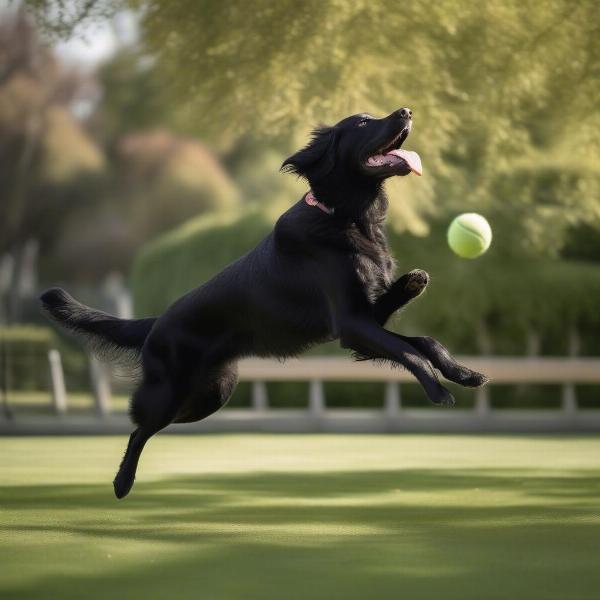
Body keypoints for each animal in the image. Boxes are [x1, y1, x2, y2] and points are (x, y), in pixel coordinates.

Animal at [39, 108, 486, 496]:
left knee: (147, 426)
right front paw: (437, 389)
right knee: (137, 428)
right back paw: (121, 481)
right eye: (362, 122)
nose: (407, 111)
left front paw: (460, 369)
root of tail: (156, 321)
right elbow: (408, 352)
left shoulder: (366, 321)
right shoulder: (351, 325)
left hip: (210, 394)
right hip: (170, 393)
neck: (348, 216)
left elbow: (425, 342)